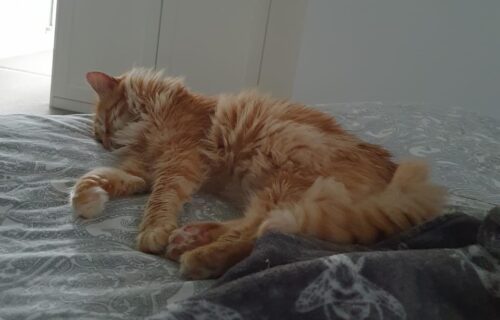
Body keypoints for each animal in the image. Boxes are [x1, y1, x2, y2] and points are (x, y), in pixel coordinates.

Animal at [69, 69, 446, 278]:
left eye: (102, 125)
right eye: (97, 137)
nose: (104, 143)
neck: (157, 114)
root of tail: (398, 183)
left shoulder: (180, 161)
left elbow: (160, 200)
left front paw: (153, 232)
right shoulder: (141, 172)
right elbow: (96, 177)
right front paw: (88, 200)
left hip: (285, 181)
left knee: (260, 232)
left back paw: (199, 256)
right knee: (258, 227)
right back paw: (191, 238)